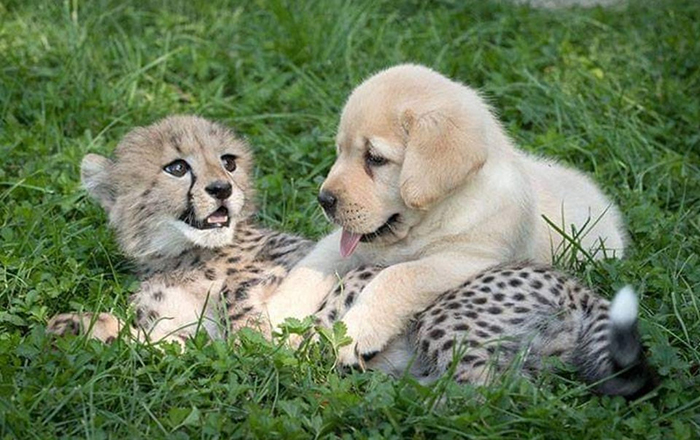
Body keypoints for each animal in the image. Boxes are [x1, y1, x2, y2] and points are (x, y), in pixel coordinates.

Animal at [266, 64, 628, 364]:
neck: (430, 219)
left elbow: (399, 276)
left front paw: (356, 330)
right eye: (340, 151)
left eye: (375, 158)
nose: (323, 199)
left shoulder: (467, 259)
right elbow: (310, 268)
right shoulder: (346, 243)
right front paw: (273, 316)